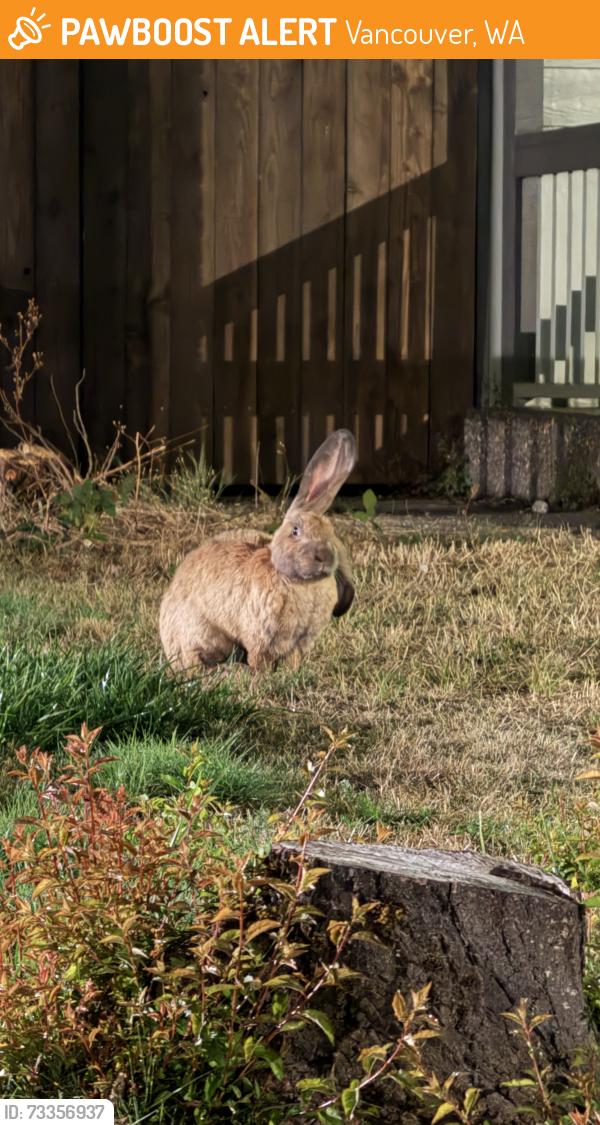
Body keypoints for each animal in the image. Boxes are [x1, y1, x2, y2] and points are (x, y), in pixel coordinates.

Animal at [159, 429, 357, 673]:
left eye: (330, 531)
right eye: (295, 531)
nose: (324, 556)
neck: (297, 582)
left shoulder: (298, 643)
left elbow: (292, 660)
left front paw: (290, 673)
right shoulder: (261, 637)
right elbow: (259, 657)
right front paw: (261, 674)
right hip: (198, 633)